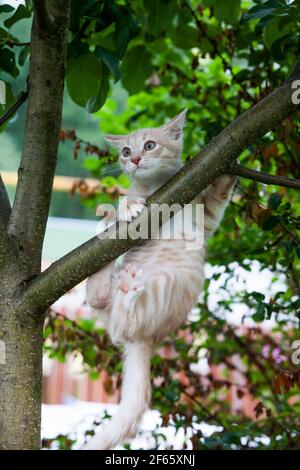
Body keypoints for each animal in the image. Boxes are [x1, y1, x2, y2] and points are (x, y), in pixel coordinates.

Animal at [82, 110, 237, 452]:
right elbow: (130, 202)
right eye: (126, 151)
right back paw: (109, 231)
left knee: (114, 320)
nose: (135, 159)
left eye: (150, 145)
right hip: (145, 284)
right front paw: (127, 206)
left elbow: (218, 198)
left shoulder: (205, 217)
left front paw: (230, 165)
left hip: (156, 285)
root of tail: (148, 339)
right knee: (115, 323)